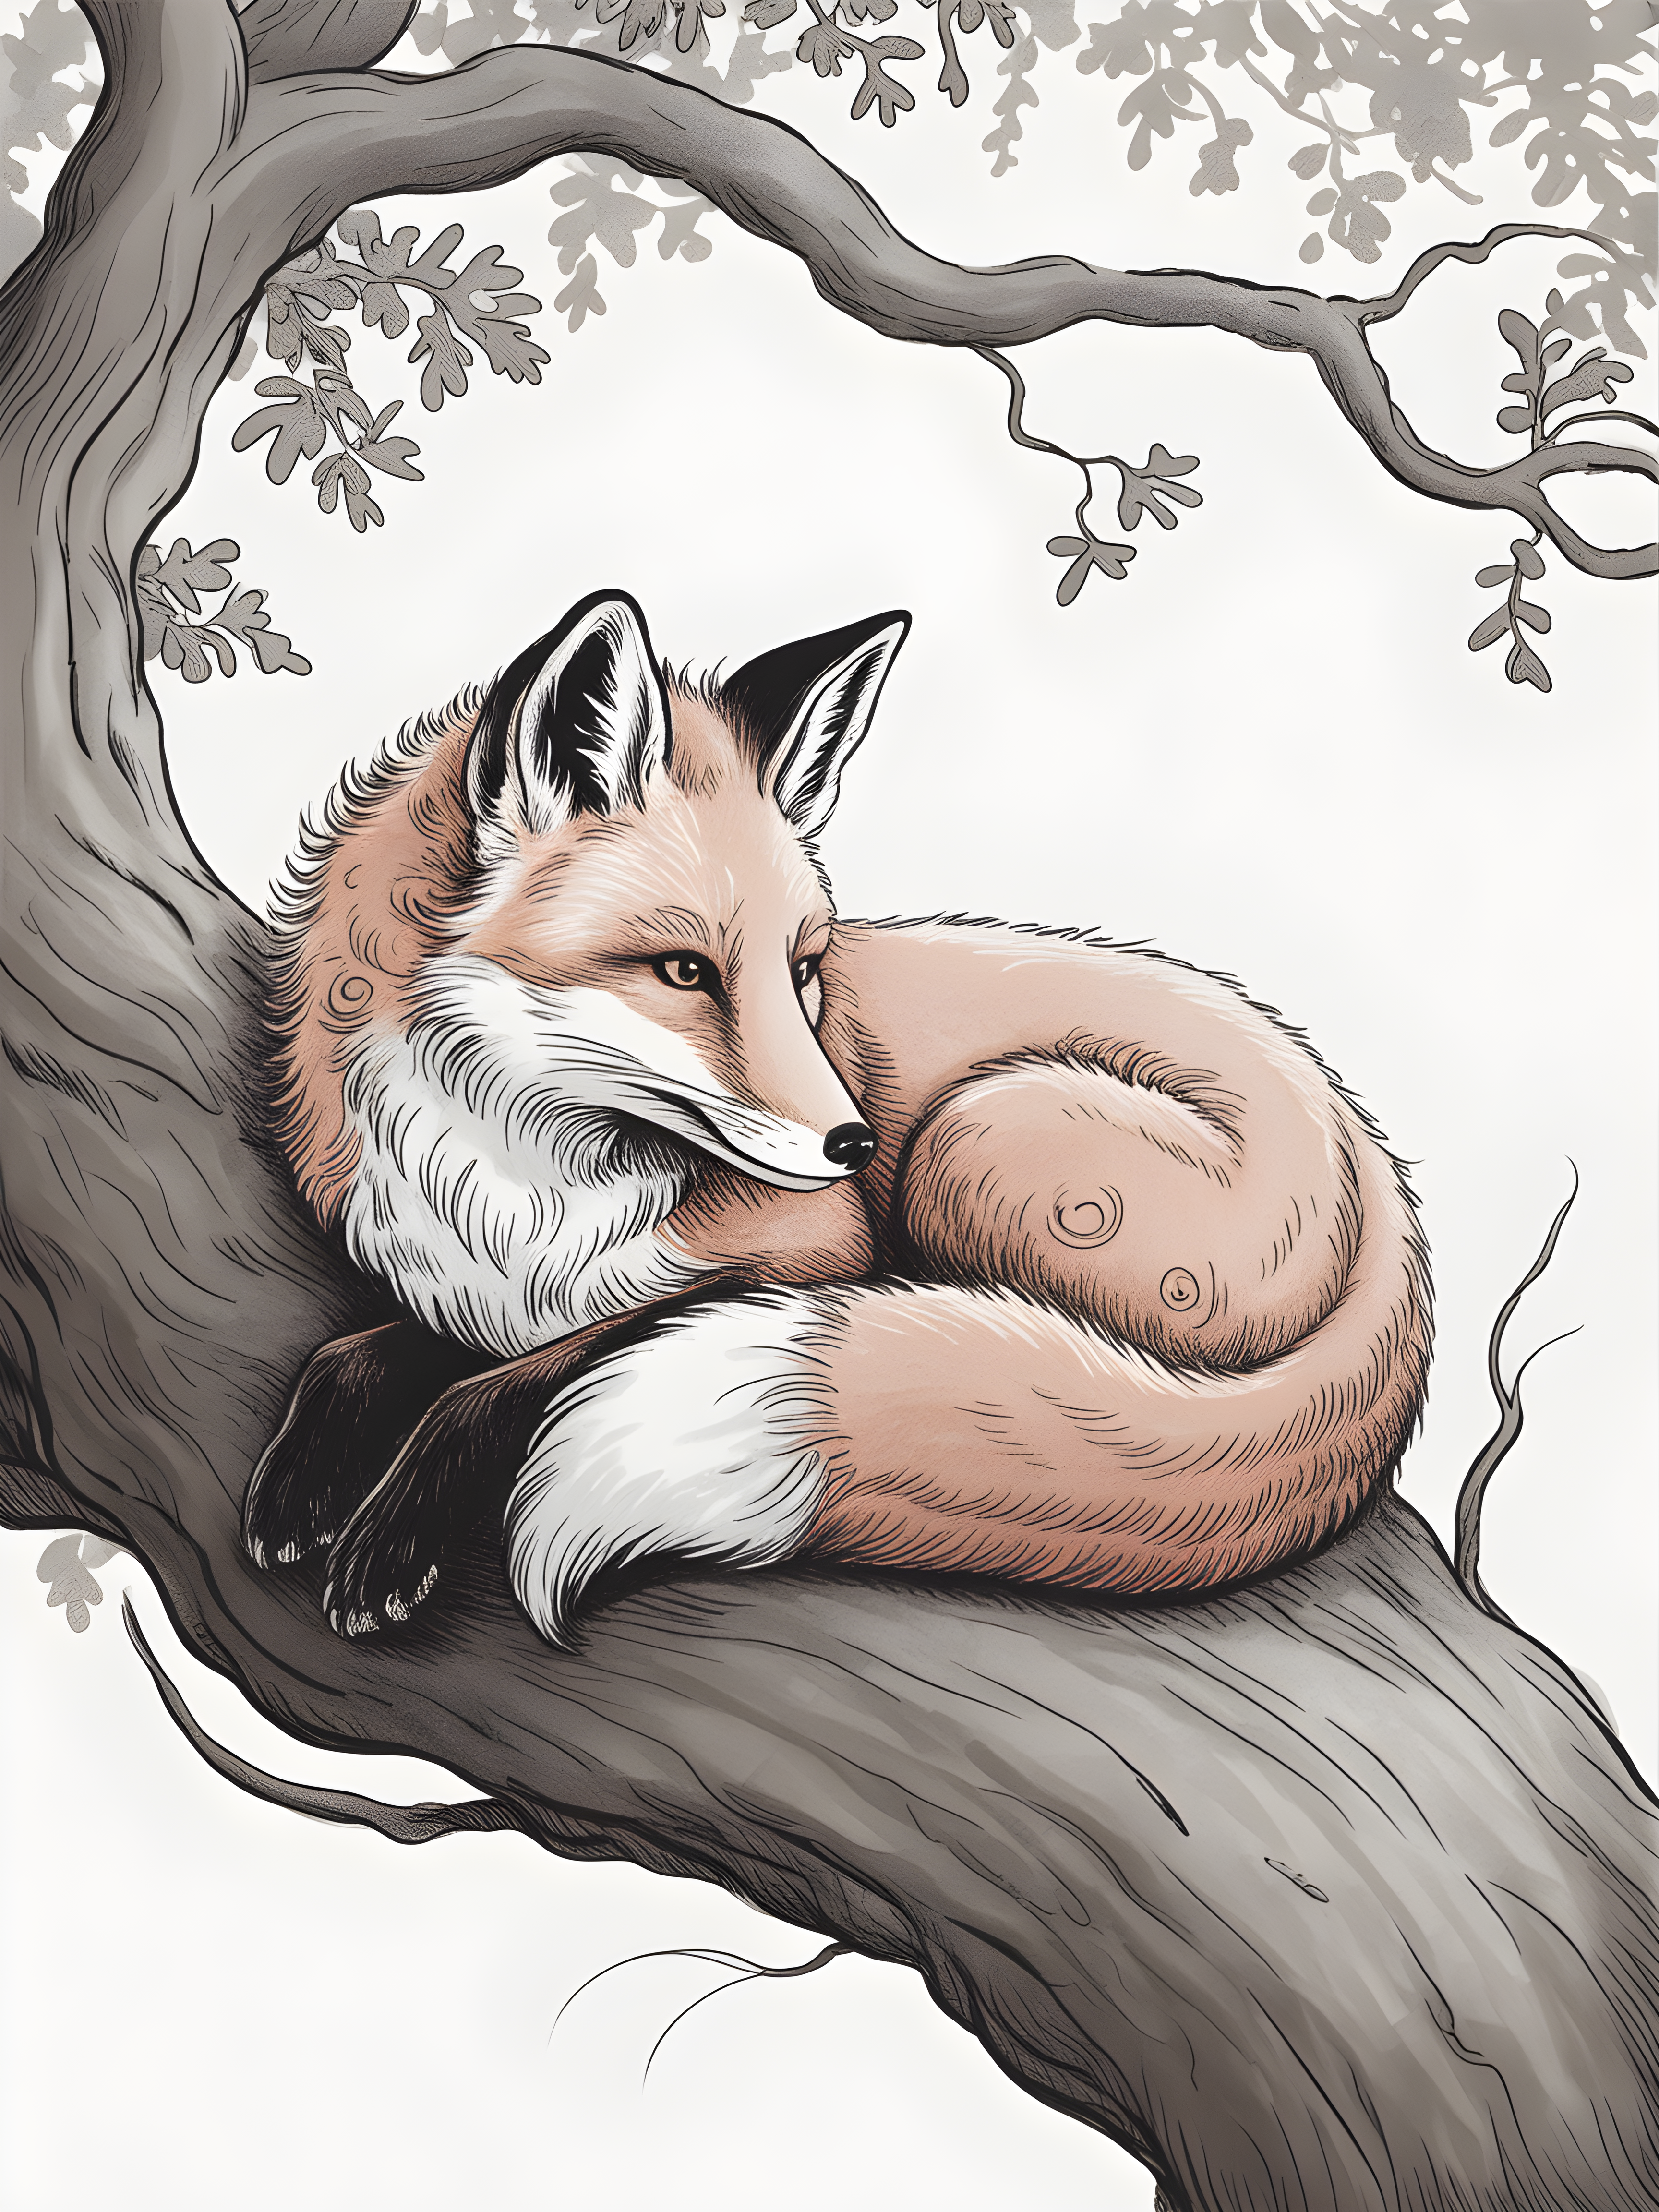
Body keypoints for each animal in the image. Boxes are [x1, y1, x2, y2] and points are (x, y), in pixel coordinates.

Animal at [245, 588, 1433, 1648]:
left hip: (976, 1134)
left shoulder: (819, 1252)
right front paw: (302, 1481)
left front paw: (392, 1534)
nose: (855, 1144)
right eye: (685, 970)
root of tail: (1370, 1162)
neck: (516, 1183)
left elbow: (515, 1376)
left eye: (804, 968)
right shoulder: (471, 1281)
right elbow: (365, 1351)